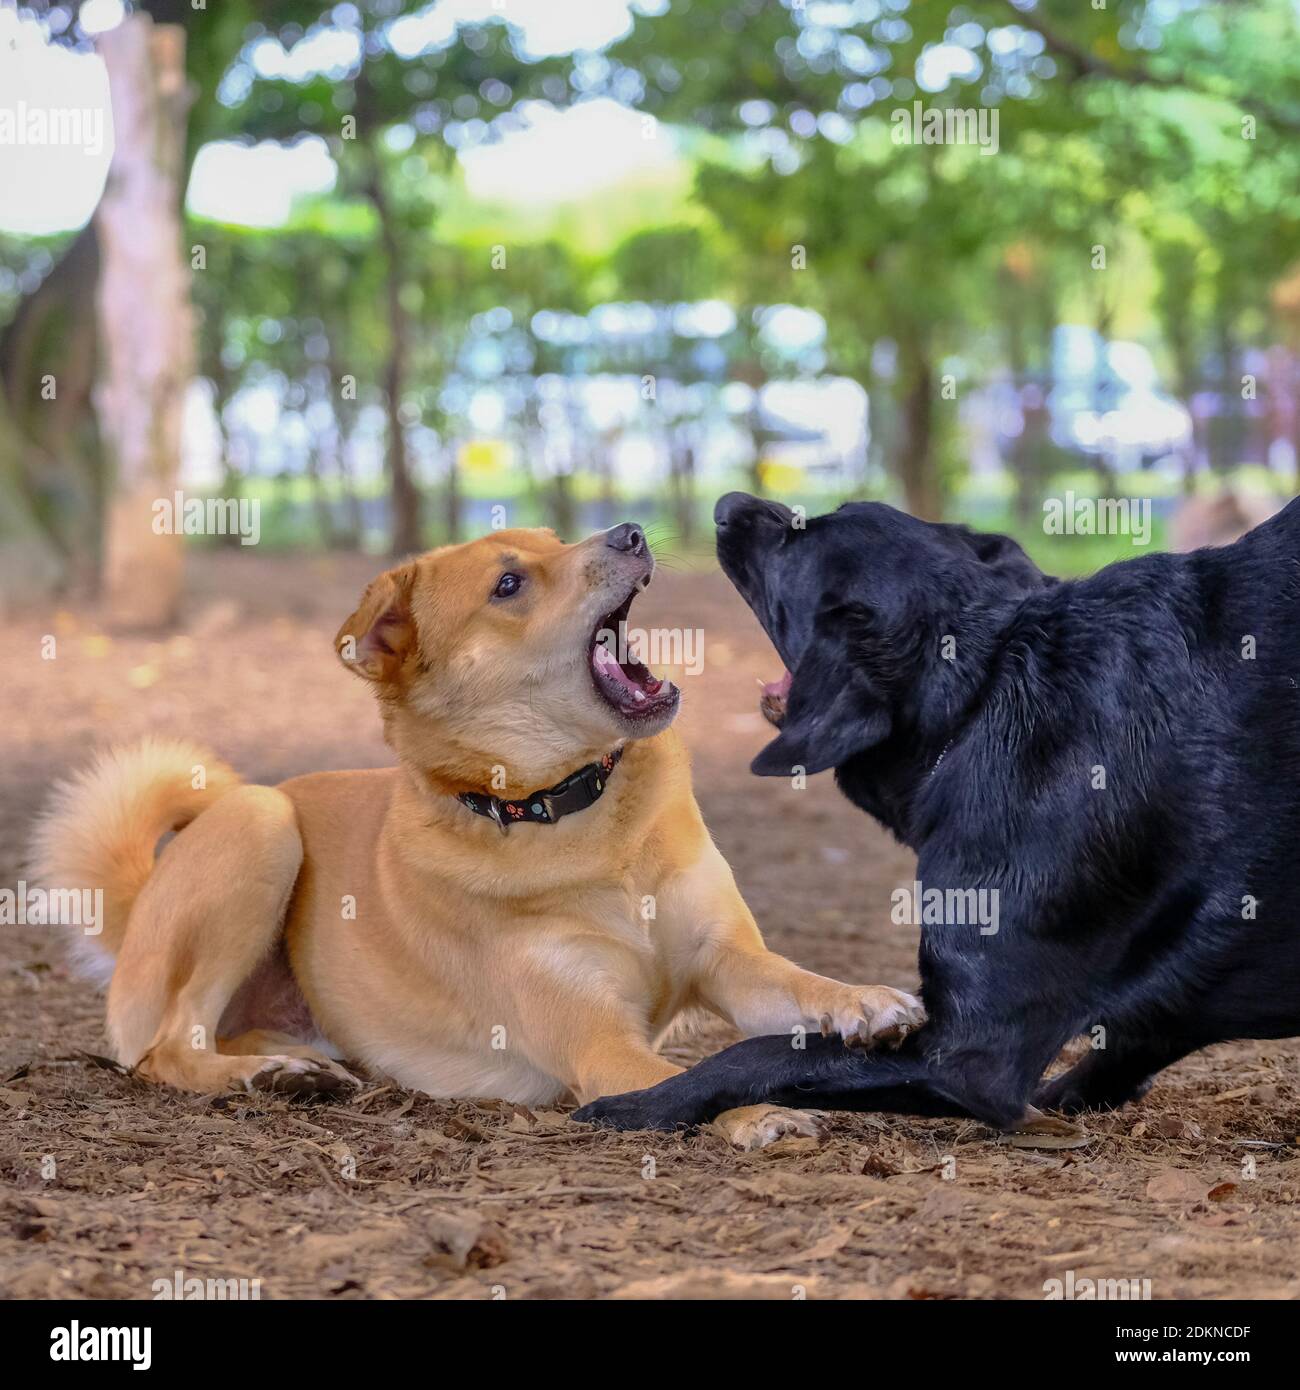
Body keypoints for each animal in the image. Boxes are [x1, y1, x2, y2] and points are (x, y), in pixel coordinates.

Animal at [33, 522, 923, 1150]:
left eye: (554, 541)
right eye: (508, 584)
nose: (631, 531)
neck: (577, 816)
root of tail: (138, 910)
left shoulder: (727, 960)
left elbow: (801, 982)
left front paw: (864, 1001)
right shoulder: (600, 1046)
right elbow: (682, 1077)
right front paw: (755, 1112)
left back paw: (304, 1067)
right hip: (261, 824)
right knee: (164, 1050)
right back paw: (266, 1078)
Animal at [575, 494, 1300, 1134]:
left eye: (798, 539)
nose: (727, 503)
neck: (985, 686)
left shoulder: (968, 1052)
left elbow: (763, 1052)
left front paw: (639, 1103)